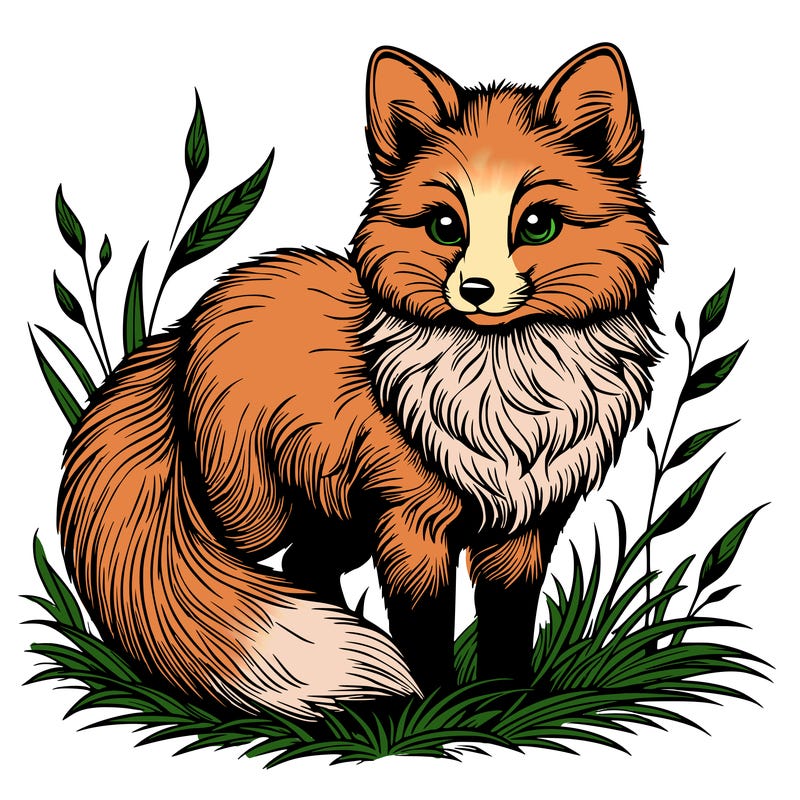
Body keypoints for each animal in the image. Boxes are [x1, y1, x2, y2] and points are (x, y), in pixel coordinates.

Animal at [57, 43, 662, 720]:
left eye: (537, 224)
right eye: (446, 226)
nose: (476, 291)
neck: (507, 397)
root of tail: (184, 326)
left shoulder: (523, 528)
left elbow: (508, 625)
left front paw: (506, 705)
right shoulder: (411, 527)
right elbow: (423, 631)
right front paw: (434, 713)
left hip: (341, 515)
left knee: (305, 565)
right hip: (257, 511)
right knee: (252, 564)